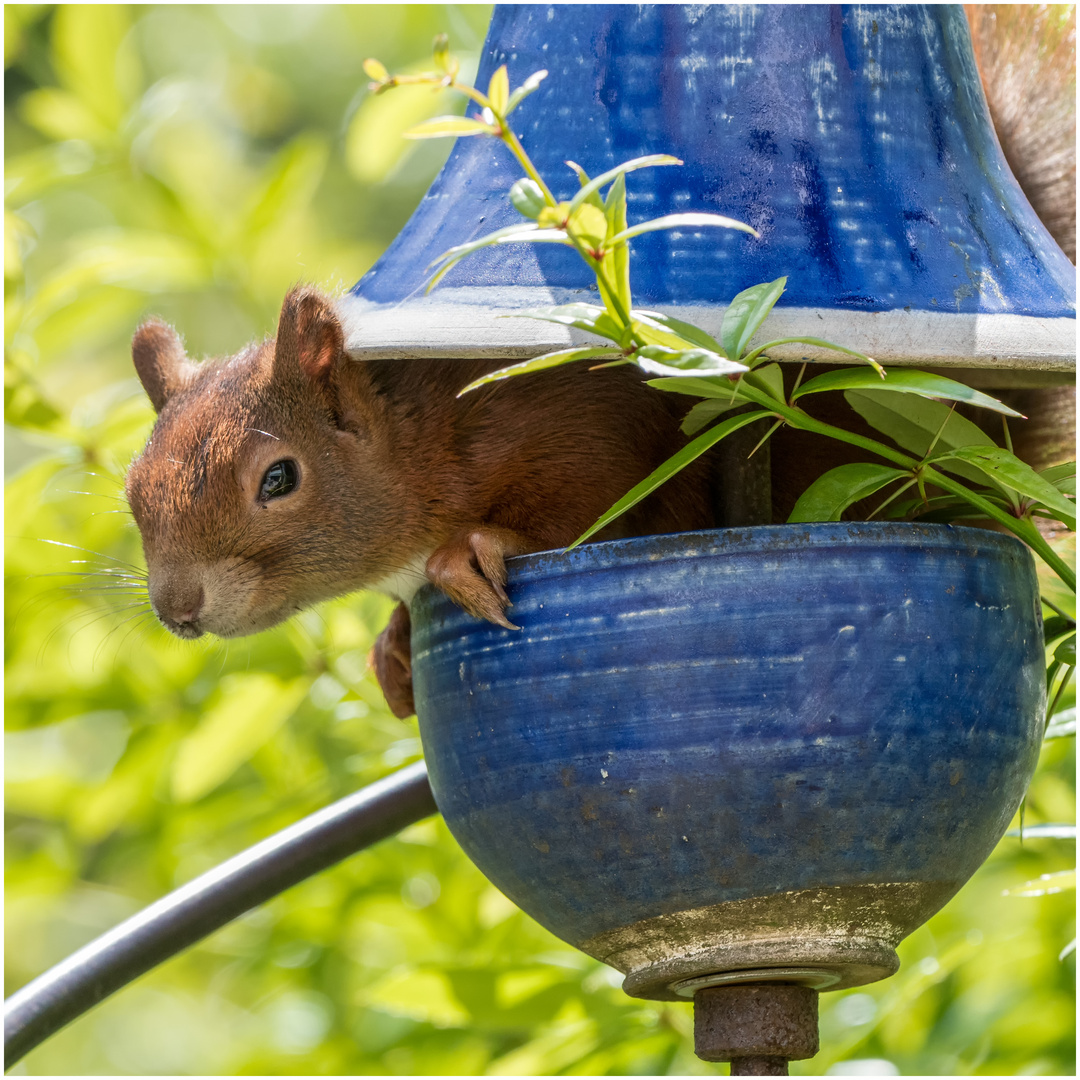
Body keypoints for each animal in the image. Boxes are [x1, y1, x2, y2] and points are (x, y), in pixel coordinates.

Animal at [124, 287, 717, 717]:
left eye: (278, 478)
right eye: (132, 491)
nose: (176, 609)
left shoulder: (585, 426)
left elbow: (599, 506)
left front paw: (469, 552)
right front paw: (393, 644)